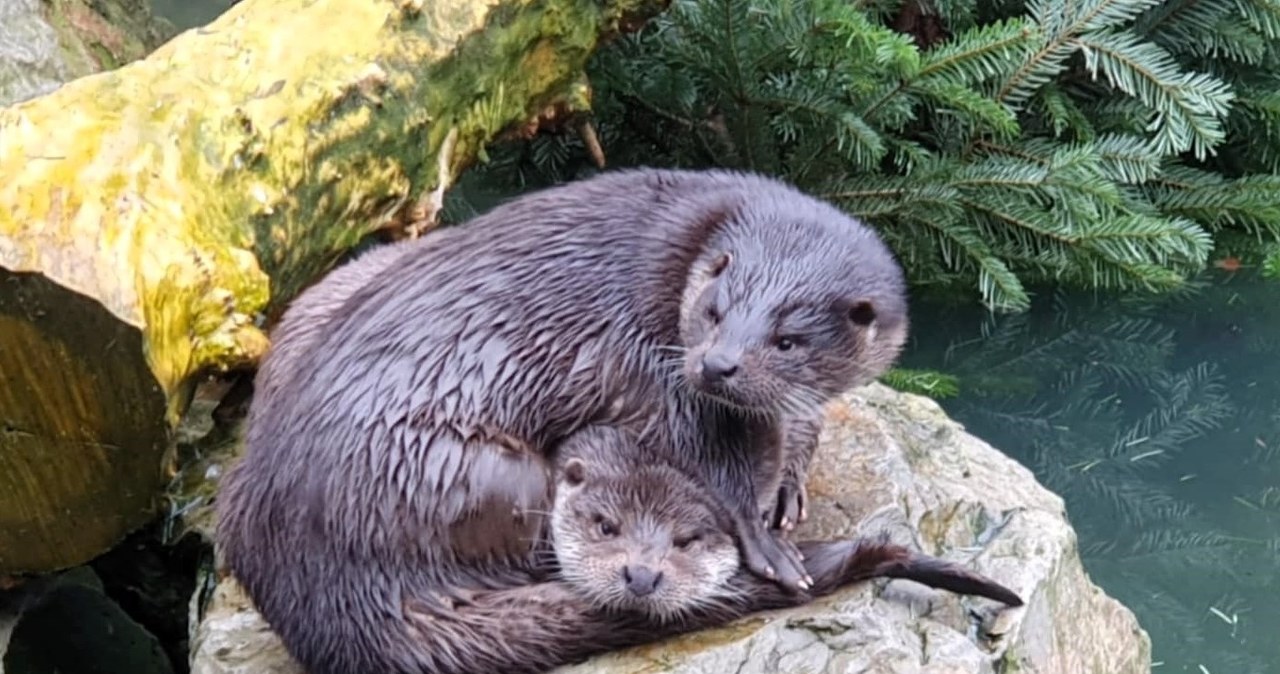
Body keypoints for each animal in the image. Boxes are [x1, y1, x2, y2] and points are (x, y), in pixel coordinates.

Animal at [217, 167, 911, 674]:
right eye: (713, 312)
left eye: (787, 340)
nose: (718, 365)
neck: (678, 256)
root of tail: (323, 592)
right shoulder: (647, 362)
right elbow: (701, 457)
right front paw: (762, 539)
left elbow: (799, 427)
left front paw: (789, 487)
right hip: (479, 476)